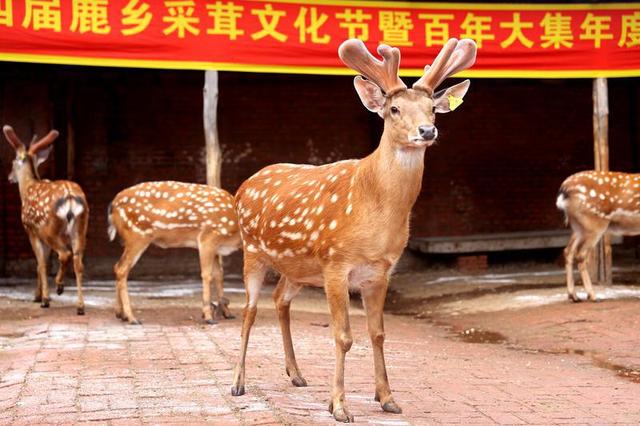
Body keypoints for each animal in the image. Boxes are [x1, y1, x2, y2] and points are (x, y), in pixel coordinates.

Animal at [3, 125, 89, 314]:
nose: (9, 177)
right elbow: (41, 263)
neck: (27, 187)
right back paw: (80, 306)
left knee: (65, 254)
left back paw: (59, 287)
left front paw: (44, 299)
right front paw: (37, 295)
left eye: (13, 162)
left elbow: (41, 263)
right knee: (78, 262)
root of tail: (70, 196)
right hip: (80, 227)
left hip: (50, 228)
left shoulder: (31, 229)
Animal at [107, 181, 241, 324]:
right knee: (122, 268)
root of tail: (113, 205)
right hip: (137, 235)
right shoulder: (207, 238)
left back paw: (120, 314)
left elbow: (219, 275)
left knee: (117, 267)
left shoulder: (217, 248)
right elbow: (207, 275)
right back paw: (132, 318)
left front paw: (228, 313)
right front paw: (208, 317)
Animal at [230, 38, 477, 422]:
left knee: (280, 299)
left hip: (298, 268)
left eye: (432, 109)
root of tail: (243, 186)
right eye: (393, 109)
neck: (375, 213)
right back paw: (238, 383)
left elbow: (378, 334)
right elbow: (343, 337)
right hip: (253, 250)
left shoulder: (380, 271)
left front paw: (387, 398)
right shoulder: (336, 263)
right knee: (249, 311)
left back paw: (296, 374)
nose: (427, 131)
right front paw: (339, 406)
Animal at [557, 170, 640, 302]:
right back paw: (592, 295)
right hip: (595, 224)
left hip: (579, 226)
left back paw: (573, 296)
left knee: (568, 251)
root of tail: (564, 189)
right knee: (580, 254)